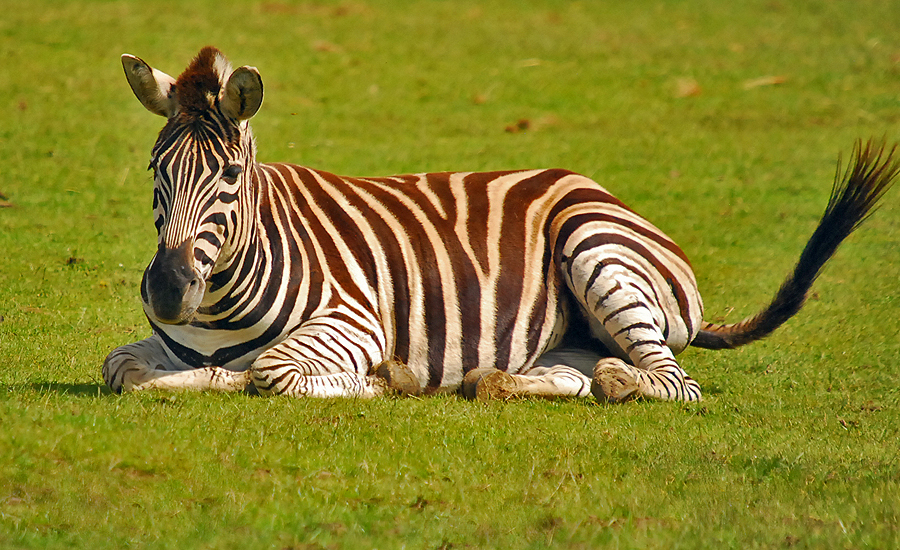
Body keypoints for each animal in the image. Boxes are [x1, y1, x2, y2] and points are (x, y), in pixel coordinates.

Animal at [103, 46, 899, 402]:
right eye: (153, 170)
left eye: (230, 179)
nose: (167, 292)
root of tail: (601, 189)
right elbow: (126, 370)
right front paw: (186, 377)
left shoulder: (354, 320)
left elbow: (268, 371)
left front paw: (379, 381)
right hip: (572, 331)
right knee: (580, 376)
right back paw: (507, 380)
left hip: (594, 246)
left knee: (674, 382)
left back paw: (620, 380)